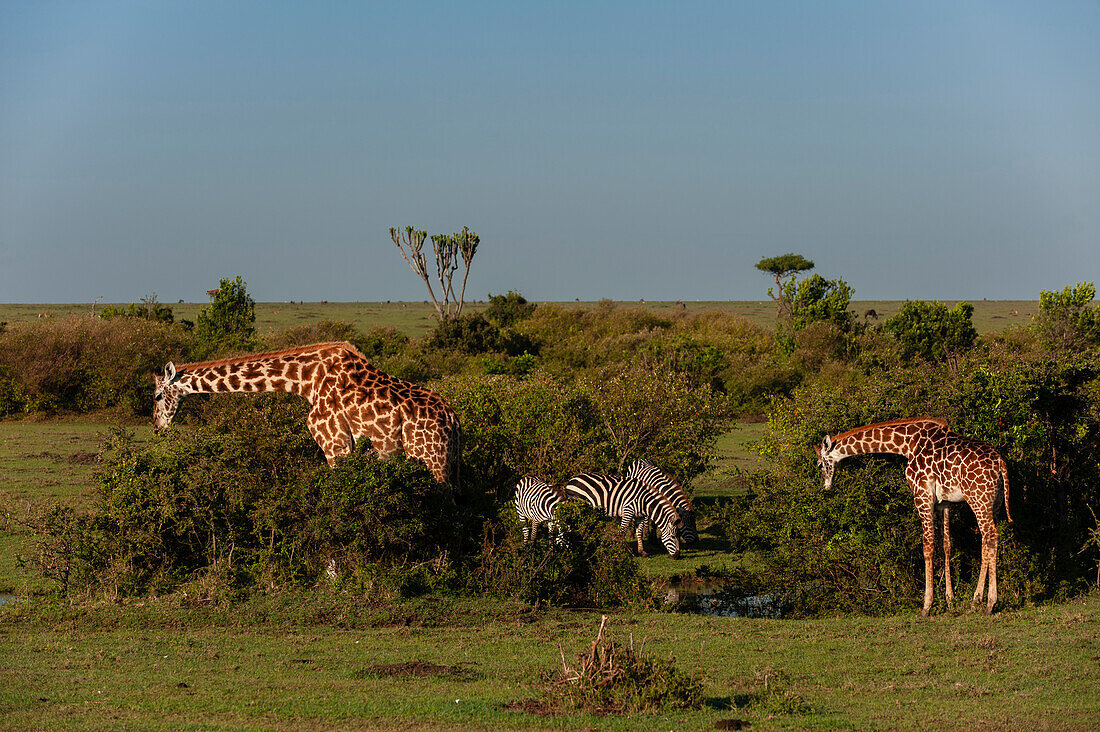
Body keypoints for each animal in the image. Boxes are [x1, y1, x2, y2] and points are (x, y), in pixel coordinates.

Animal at [151, 341, 459, 484]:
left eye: (157, 396)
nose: (157, 428)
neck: (305, 380)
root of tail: (454, 421)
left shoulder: (336, 444)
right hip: (449, 462)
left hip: (430, 460)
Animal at [814, 413, 1007, 612]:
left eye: (819, 464)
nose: (826, 486)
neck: (906, 444)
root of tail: (1000, 464)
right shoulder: (944, 503)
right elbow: (946, 545)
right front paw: (950, 601)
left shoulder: (921, 494)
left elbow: (927, 547)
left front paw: (927, 605)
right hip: (995, 502)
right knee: (986, 540)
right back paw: (977, 600)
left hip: (978, 498)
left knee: (991, 535)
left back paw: (989, 603)